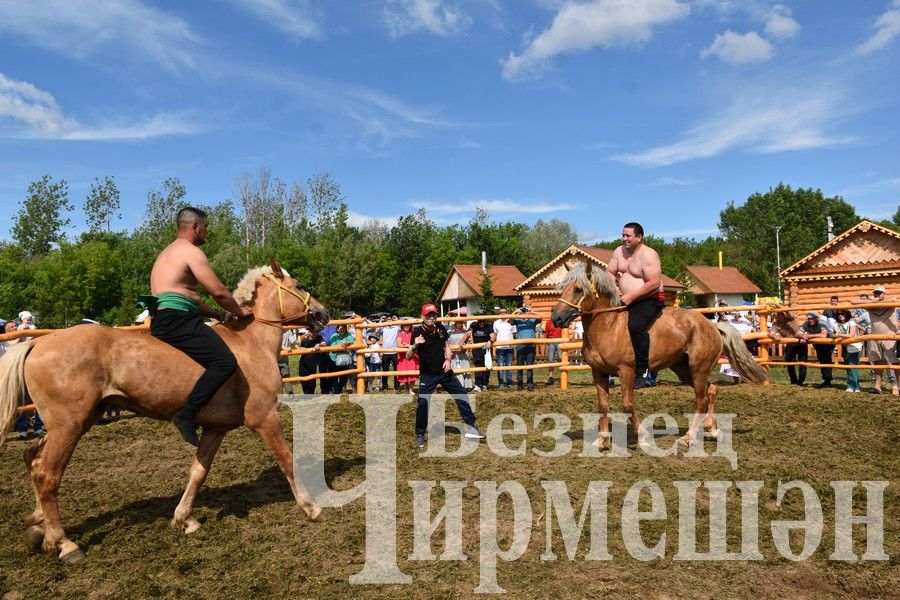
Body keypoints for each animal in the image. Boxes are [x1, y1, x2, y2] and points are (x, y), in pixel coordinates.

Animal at [0, 258, 330, 564]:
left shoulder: (215, 428)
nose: (323, 313)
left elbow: (198, 471)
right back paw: (63, 543)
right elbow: (286, 459)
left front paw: (185, 519)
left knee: (33, 460)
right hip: (68, 426)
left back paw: (39, 527)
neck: (250, 343)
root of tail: (38, 344)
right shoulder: (265, 418)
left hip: (76, 422)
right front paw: (311, 507)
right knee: (47, 474)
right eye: (299, 285)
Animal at [548, 262, 768, 450]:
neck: (608, 325)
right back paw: (711, 429)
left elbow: (628, 405)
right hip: (684, 370)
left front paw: (643, 438)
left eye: (578, 289)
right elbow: (602, 405)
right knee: (711, 390)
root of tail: (712, 325)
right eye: (562, 288)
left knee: (702, 399)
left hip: (698, 369)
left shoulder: (626, 371)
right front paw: (601, 441)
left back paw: (687, 438)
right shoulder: (599, 373)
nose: (557, 318)